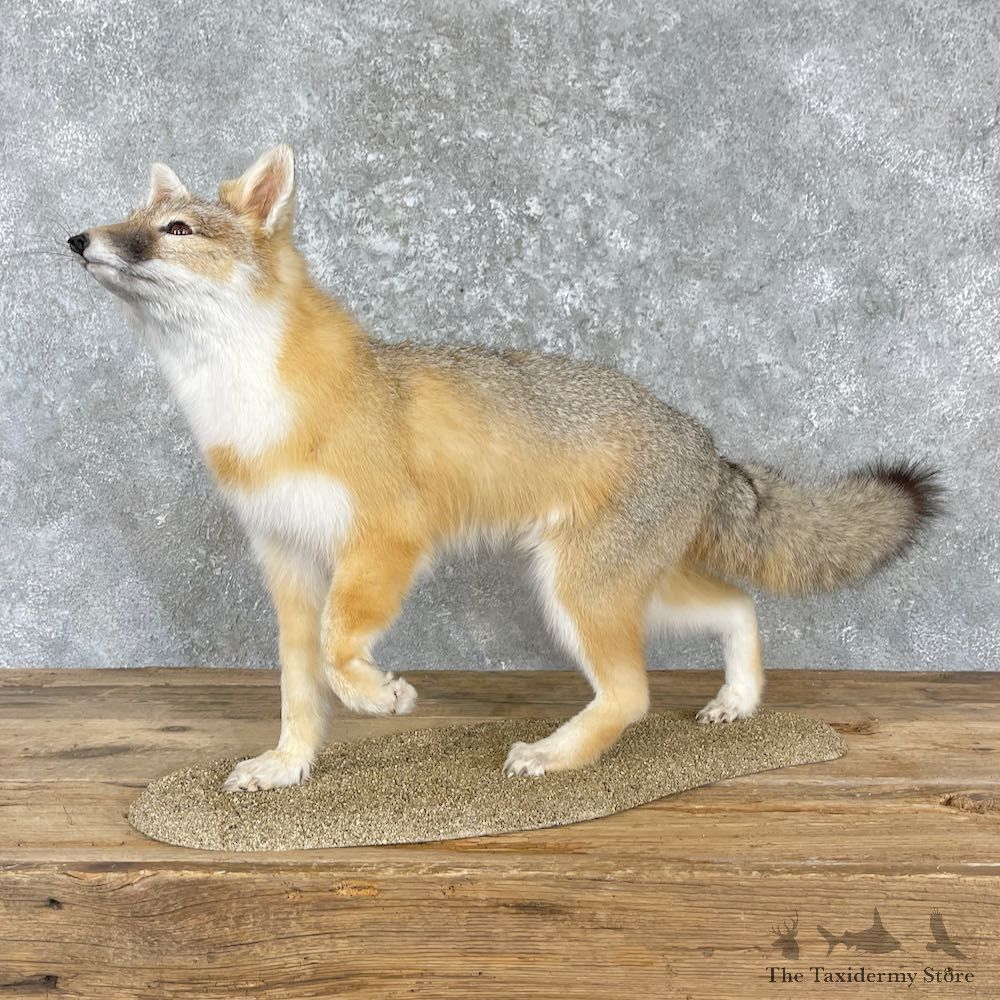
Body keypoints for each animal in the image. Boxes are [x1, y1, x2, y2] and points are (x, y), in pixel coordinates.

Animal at [69, 144, 942, 791]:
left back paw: (555, 755)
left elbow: (338, 650)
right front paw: (287, 766)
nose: (79, 240)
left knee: (633, 693)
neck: (247, 401)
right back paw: (737, 700)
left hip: (579, 595)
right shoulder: (288, 562)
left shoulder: (385, 542)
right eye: (130, 218)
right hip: (625, 590)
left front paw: (380, 695)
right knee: (737, 607)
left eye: (175, 228)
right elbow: (299, 688)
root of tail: (701, 438)